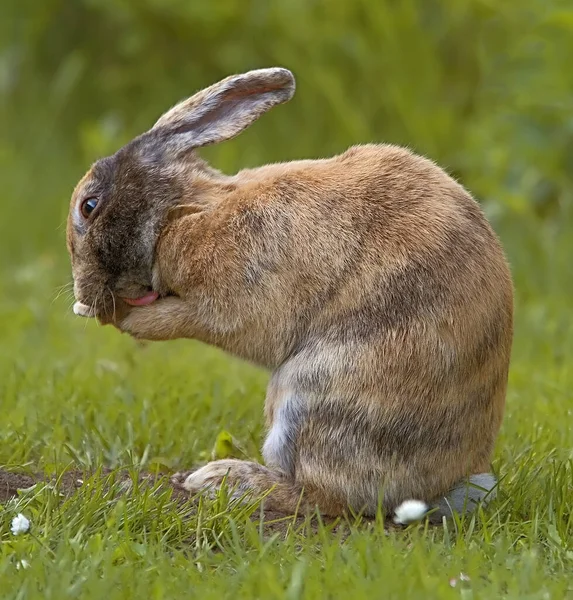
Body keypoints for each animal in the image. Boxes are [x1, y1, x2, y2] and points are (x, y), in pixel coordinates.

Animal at [68, 68, 512, 524]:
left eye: (89, 205)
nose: (83, 290)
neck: (187, 210)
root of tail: (442, 488)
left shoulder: (229, 304)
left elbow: (178, 320)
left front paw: (120, 318)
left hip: (311, 398)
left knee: (323, 496)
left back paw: (222, 480)